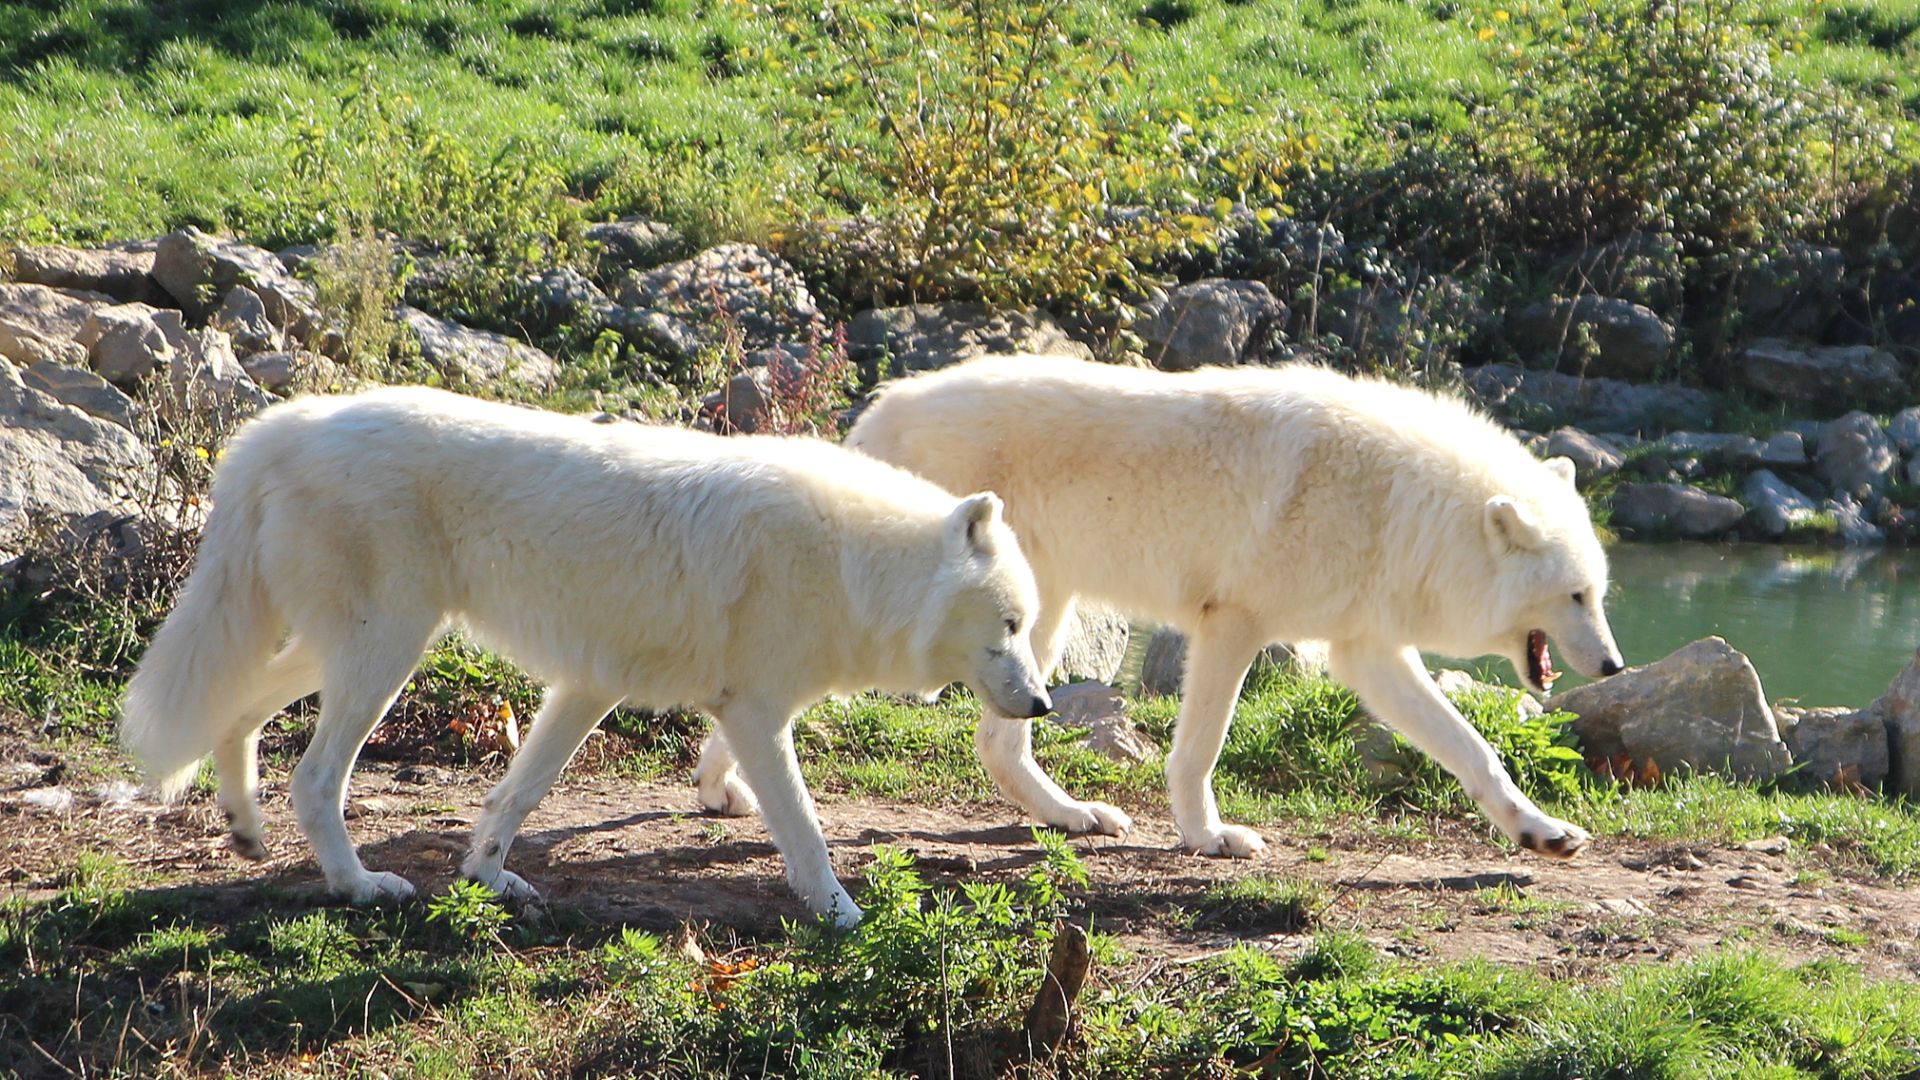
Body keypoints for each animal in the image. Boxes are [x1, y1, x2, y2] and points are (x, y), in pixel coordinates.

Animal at [120, 386, 1052, 926]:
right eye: (1009, 626)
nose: (1043, 704)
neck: (856, 564)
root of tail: (278, 426)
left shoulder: (589, 686)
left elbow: (514, 799)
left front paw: (489, 881)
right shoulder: (754, 713)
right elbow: (807, 830)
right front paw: (843, 914)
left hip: (360, 647)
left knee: (237, 710)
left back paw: (245, 829)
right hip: (386, 652)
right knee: (314, 778)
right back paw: (358, 886)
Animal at [825, 353, 1620, 857]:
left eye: (1599, 595)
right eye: (1576, 595)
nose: (1614, 665)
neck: (1401, 505)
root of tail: (873, 415)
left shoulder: (1368, 654)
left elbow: (1474, 750)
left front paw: (1541, 832)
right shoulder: (1234, 624)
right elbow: (1200, 750)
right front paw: (1208, 839)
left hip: (1033, 623)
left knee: (998, 742)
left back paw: (1074, 816)